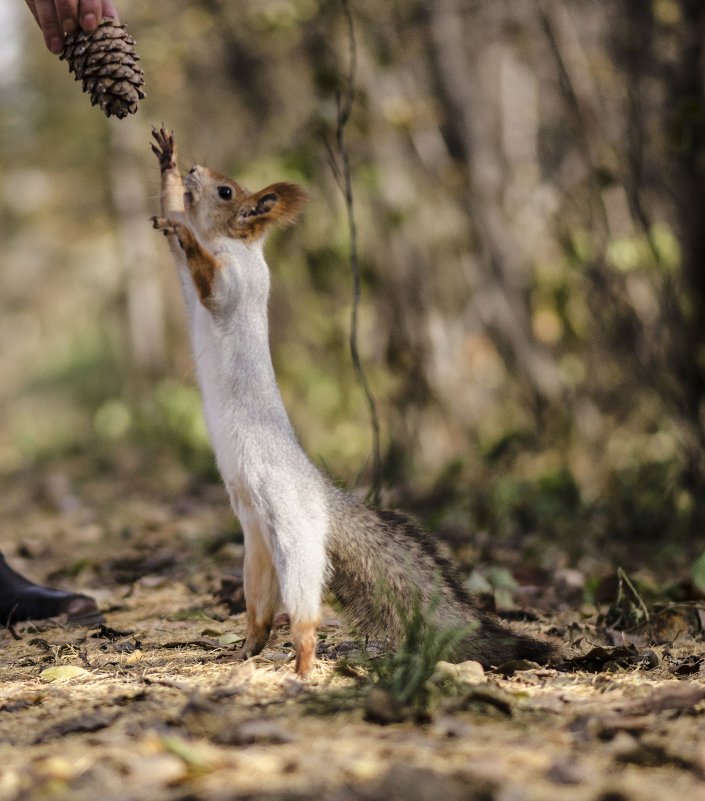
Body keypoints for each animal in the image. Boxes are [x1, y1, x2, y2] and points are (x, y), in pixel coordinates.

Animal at [148, 126, 556, 676]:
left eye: (227, 191)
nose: (195, 170)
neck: (233, 245)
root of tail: (323, 497)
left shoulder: (234, 284)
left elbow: (206, 276)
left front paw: (184, 228)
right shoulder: (190, 283)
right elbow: (181, 263)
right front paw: (168, 172)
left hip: (294, 538)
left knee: (303, 617)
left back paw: (302, 667)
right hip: (256, 548)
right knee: (260, 614)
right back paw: (244, 655)